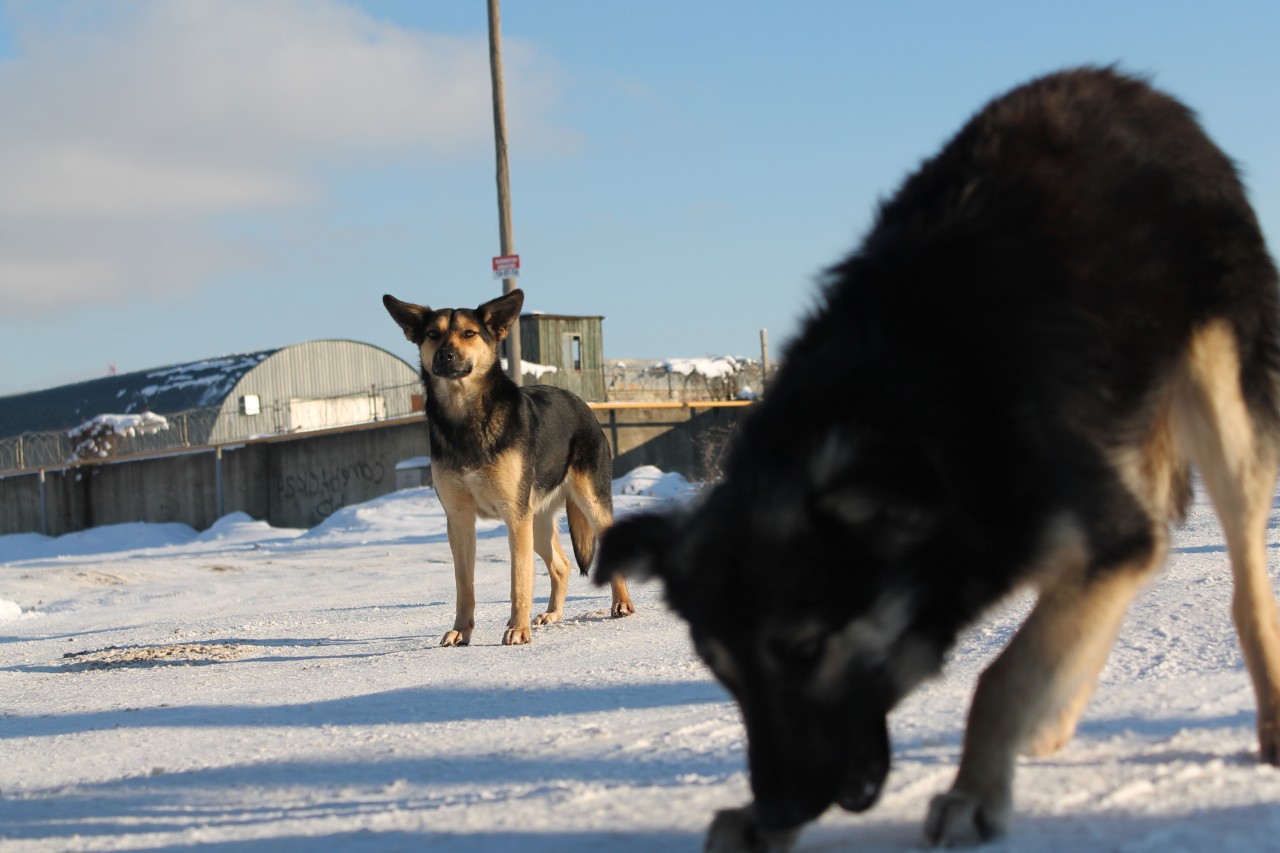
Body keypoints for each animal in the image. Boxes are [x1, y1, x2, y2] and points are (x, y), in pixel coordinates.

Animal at [384, 289, 634, 640]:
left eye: (469, 333)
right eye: (432, 334)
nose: (446, 355)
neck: (466, 417)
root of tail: (581, 403)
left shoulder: (514, 515)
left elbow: (519, 580)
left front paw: (517, 629)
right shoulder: (459, 520)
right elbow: (464, 585)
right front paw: (461, 631)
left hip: (587, 503)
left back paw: (621, 604)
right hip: (537, 520)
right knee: (561, 565)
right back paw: (552, 614)